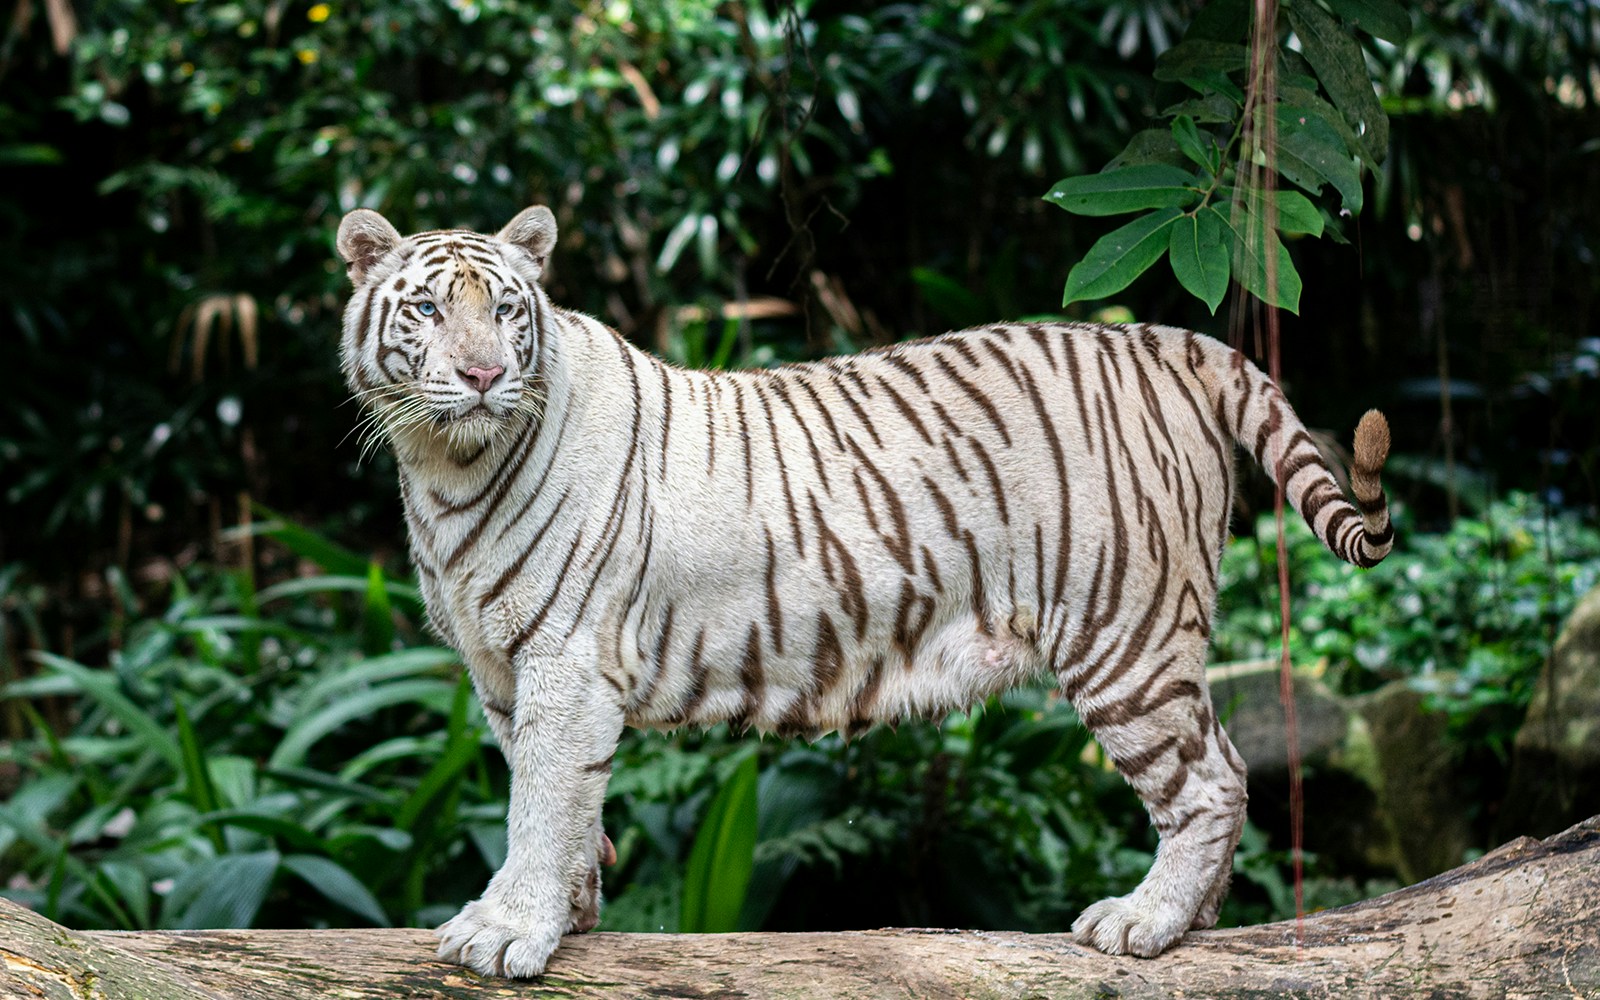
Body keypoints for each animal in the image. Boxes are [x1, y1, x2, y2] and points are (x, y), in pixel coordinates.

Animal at [333, 204, 1393, 978]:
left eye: (508, 311)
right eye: (426, 311)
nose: (483, 375)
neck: (443, 469)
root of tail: (1170, 343)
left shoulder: (564, 660)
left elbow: (540, 799)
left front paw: (507, 930)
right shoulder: (502, 671)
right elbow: (563, 803)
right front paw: (573, 911)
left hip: (1122, 634)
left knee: (1212, 778)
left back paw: (1148, 923)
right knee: (1231, 770)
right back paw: (1201, 921)